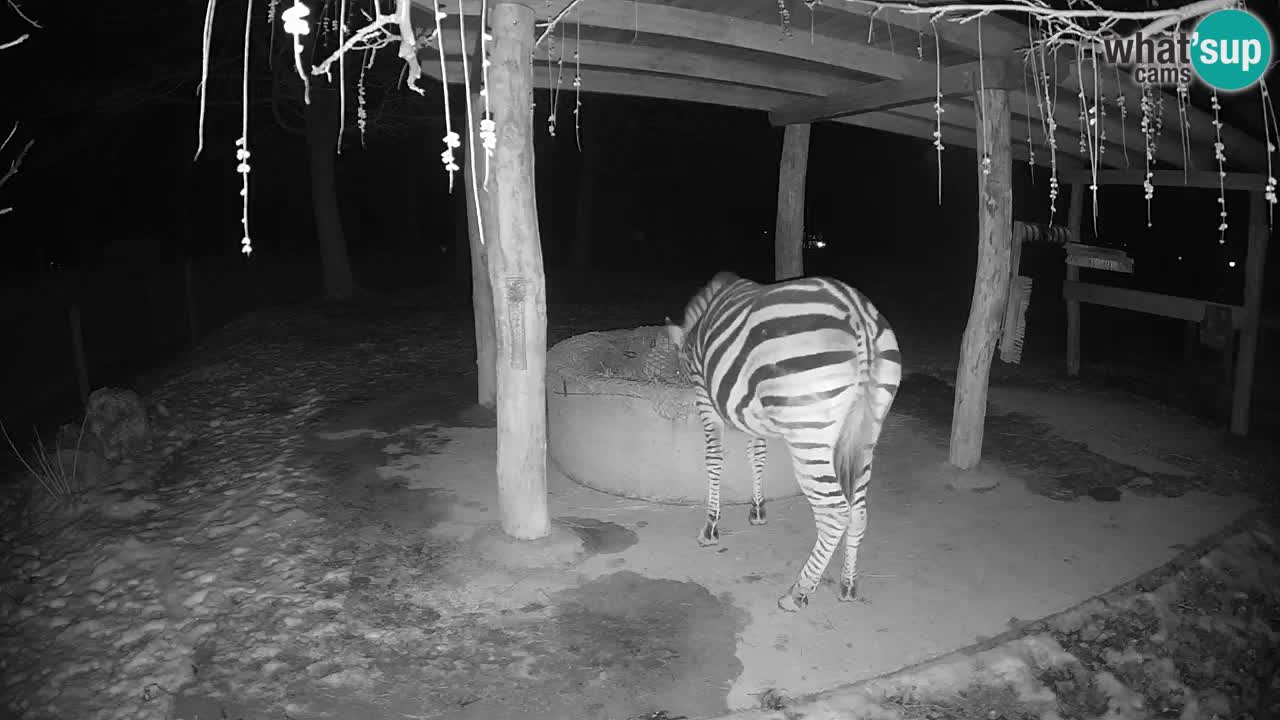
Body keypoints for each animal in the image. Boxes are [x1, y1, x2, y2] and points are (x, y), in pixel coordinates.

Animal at [665, 271, 906, 607]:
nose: (679, 377)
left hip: (809, 437)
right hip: (866, 433)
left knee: (835, 512)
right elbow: (757, 454)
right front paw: (757, 510)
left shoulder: (705, 399)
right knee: (858, 512)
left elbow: (714, 460)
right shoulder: (750, 410)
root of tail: (857, 314)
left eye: (684, 368)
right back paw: (848, 585)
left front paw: (711, 526)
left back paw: (799, 592)